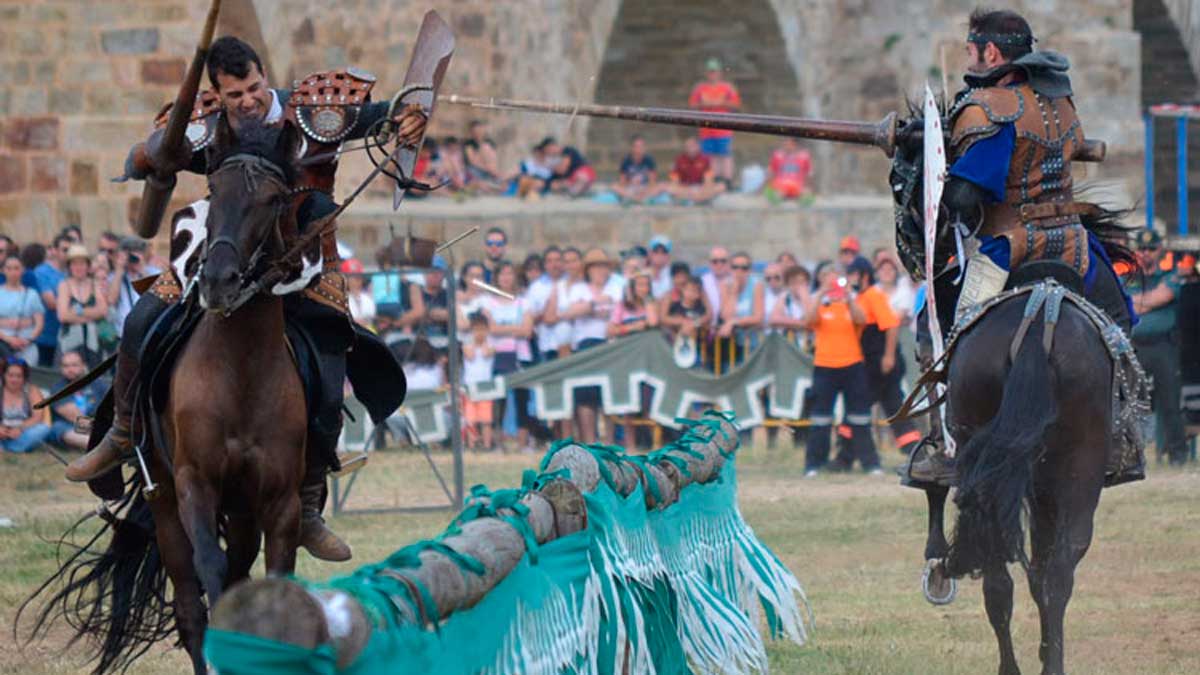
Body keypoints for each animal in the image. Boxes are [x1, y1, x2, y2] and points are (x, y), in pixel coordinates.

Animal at [21, 118, 309, 667]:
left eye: (273, 199)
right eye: (214, 189)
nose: (217, 280)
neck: (241, 371)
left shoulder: (279, 501)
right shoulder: (194, 484)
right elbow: (210, 576)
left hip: (241, 511)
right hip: (168, 503)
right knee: (192, 605)